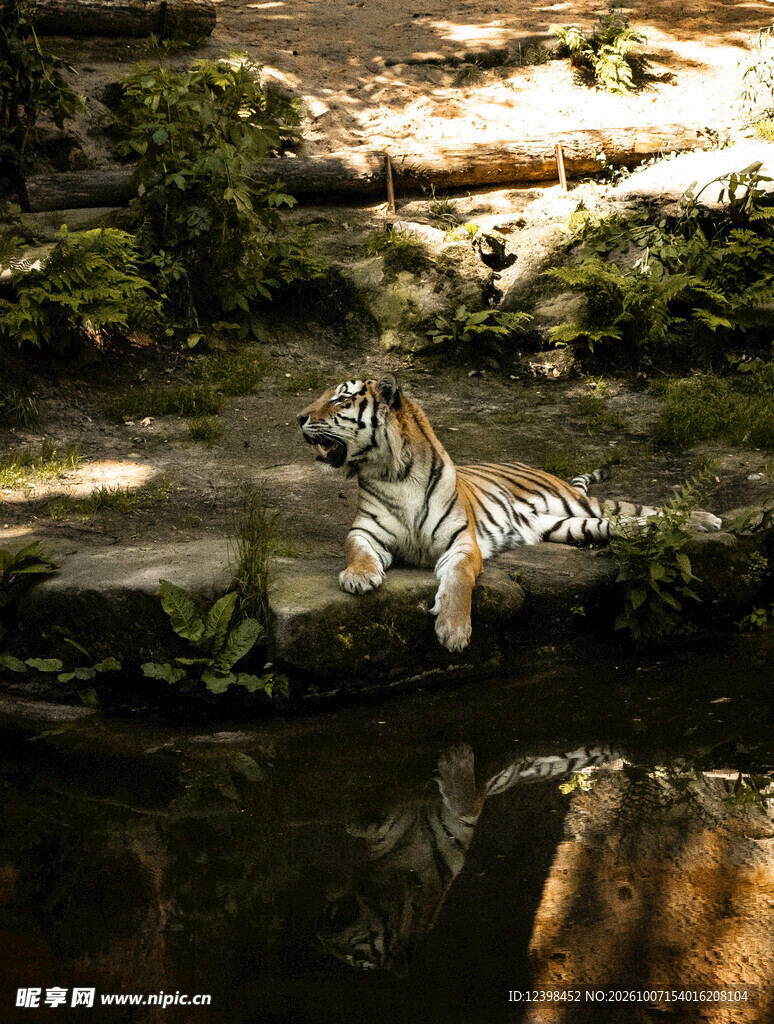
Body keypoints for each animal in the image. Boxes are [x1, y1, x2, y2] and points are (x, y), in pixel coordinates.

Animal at [297, 374, 722, 653]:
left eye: (341, 399)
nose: (299, 417)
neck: (393, 471)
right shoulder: (365, 532)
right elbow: (357, 551)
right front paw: (359, 577)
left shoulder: (462, 543)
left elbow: (459, 582)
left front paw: (454, 630)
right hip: (570, 526)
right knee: (626, 523)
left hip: (579, 504)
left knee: (643, 508)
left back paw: (705, 519)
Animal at [316, 742, 621, 974]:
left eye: (357, 959)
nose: (320, 933)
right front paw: (361, 823)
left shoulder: (477, 804)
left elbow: (466, 805)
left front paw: (455, 760)